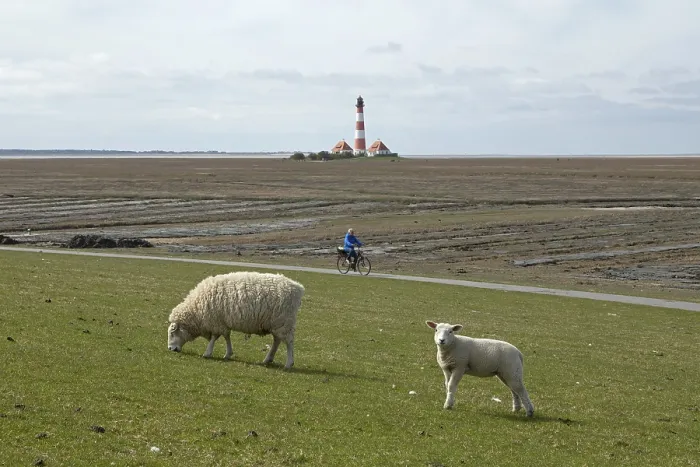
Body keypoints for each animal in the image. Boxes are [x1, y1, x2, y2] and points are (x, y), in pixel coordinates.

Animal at [167, 271, 305, 369]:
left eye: (172, 333)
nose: (170, 349)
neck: (196, 310)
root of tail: (298, 288)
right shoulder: (222, 321)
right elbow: (226, 336)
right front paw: (228, 353)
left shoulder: (216, 321)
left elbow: (215, 337)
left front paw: (208, 352)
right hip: (276, 323)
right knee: (277, 340)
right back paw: (268, 359)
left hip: (284, 321)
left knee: (289, 342)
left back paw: (289, 363)